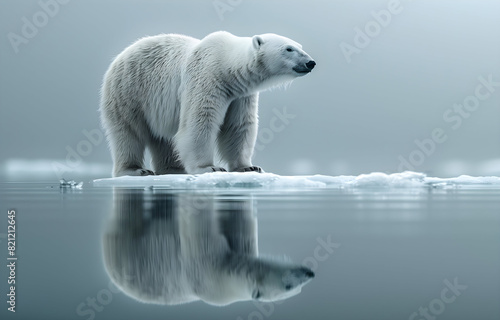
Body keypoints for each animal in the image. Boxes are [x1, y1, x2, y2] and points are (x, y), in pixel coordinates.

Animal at [99, 31, 314, 176]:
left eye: (300, 46)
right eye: (288, 48)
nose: (310, 62)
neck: (227, 66)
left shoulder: (240, 95)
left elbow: (238, 126)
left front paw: (249, 167)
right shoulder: (206, 78)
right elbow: (200, 121)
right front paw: (210, 167)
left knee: (164, 138)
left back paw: (173, 169)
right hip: (129, 91)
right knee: (129, 132)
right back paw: (136, 170)